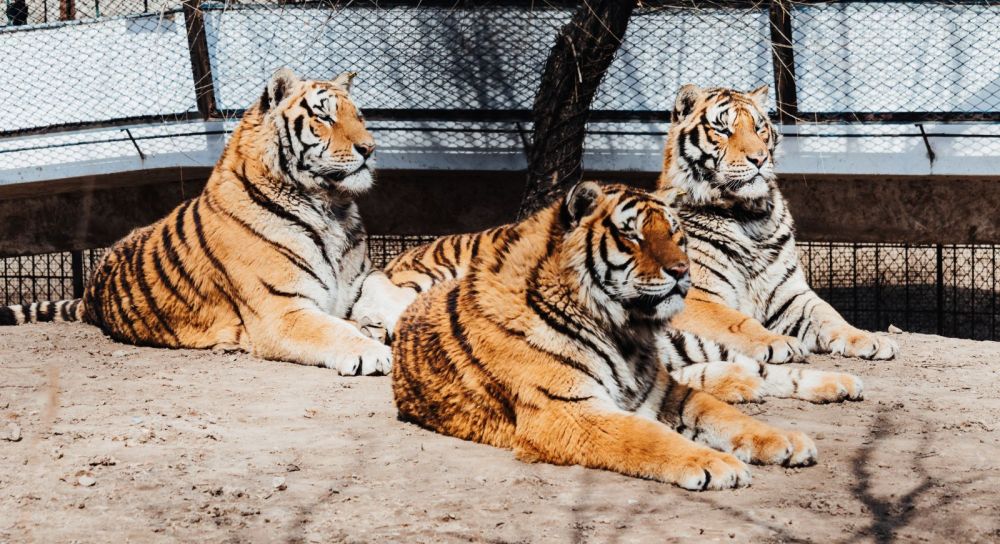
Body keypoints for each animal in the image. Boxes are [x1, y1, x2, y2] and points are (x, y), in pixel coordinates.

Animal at [0, 67, 398, 374]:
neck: (330, 207)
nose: (369, 148)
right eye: (324, 117)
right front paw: (374, 352)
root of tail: (87, 297)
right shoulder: (282, 310)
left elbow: (393, 295)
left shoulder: (361, 280)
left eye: (360, 117)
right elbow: (333, 331)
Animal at [390, 182, 828, 488]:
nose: (683, 270)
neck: (624, 331)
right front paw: (715, 463)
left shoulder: (662, 390)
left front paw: (785, 440)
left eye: (676, 234)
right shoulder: (566, 411)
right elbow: (647, 435)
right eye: (633, 236)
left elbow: (722, 413)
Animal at [656, 84, 900, 362]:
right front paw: (778, 342)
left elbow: (829, 315)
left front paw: (870, 339)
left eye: (758, 128)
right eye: (723, 130)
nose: (760, 159)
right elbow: (736, 322)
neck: (748, 216)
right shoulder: (693, 297)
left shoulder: (790, 295)